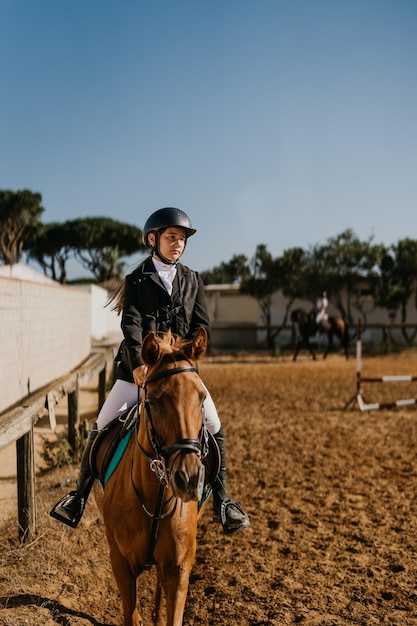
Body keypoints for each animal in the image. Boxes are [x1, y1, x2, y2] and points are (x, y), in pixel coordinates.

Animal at [94, 326, 211, 624]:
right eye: (154, 401)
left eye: (202, 398)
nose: (188, 478)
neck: (154, 500)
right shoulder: (120, 563)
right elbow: (131, 614)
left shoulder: (179, 567)